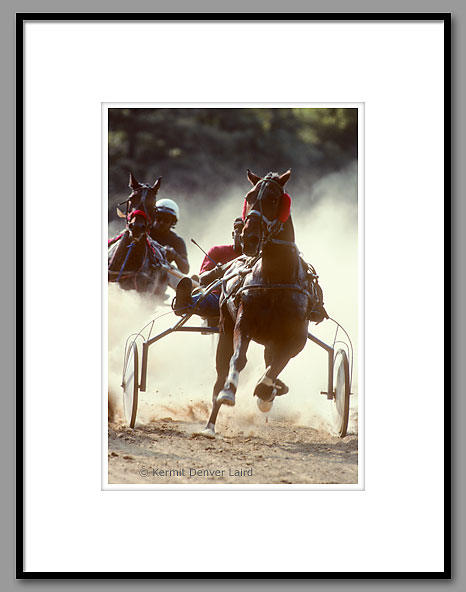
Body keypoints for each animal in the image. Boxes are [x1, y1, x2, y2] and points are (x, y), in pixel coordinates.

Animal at [201, 169, 314, 438]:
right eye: (250, 196)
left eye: (274, 199)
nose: (250, 237)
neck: (276, 278)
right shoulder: (244, 322)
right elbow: (238, 359)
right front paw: (229, 392)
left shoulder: (296, 338)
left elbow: (276, 366)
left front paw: (267, 393)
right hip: (224, 326)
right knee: (220, 372)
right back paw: (210, 425)